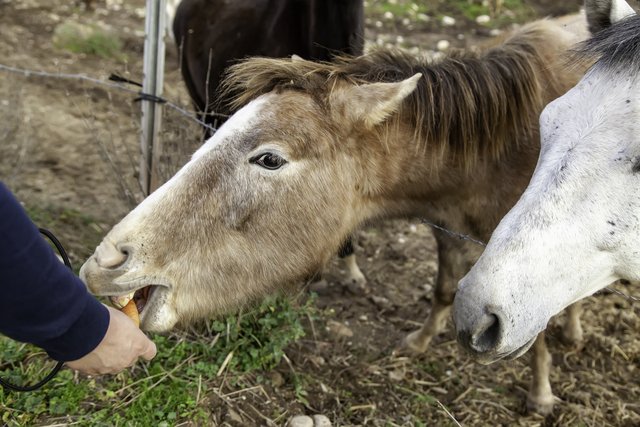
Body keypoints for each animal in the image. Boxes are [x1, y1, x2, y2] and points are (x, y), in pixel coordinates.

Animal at [82, 17, 588, 414]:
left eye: (269, 159)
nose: (107, 262)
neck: (499, 148)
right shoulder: (447, 230)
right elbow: (444, 289)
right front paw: (420, 342)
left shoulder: (527, 261)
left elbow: (536, 328)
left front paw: (541, 393)